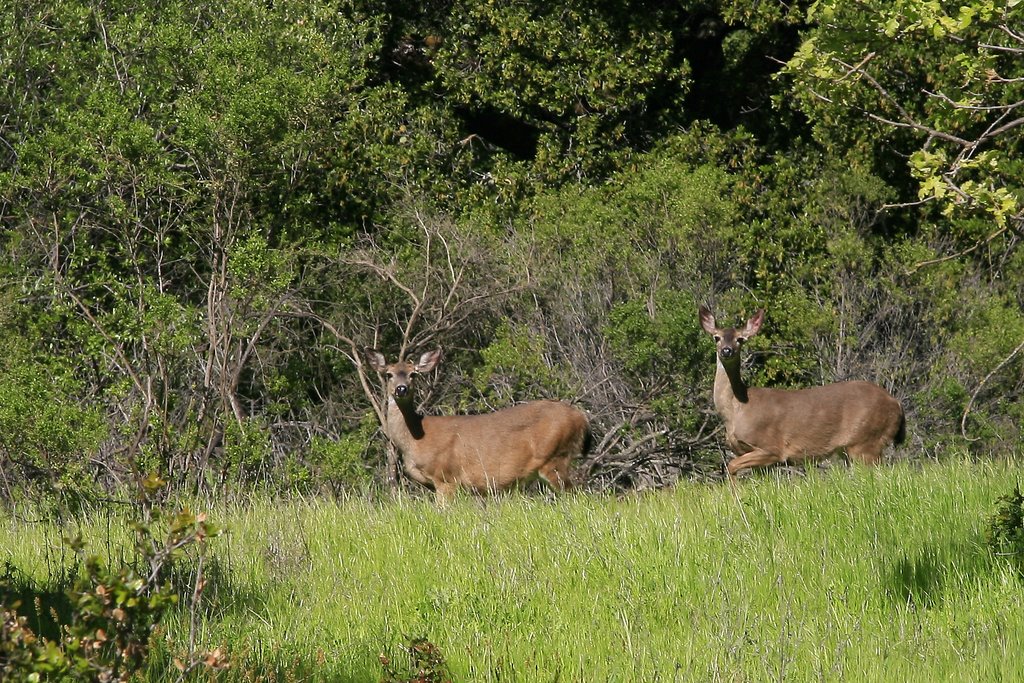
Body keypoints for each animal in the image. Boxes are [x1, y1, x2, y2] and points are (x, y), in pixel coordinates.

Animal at [362, 350, 589, 505]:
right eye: (389, 374)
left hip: (555, 456)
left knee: (576, 495)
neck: (415, 439)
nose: (401, 389)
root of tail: (581, 417)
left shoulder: (446, 476)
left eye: (413, 374)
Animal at [696, 307, 905, 479]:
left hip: (866, 442)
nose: (726, 350)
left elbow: (731, 466)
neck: (737, 409)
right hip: (853, 449)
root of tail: (896, 403)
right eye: (716, 337)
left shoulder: (771, 448)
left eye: (740, 339)